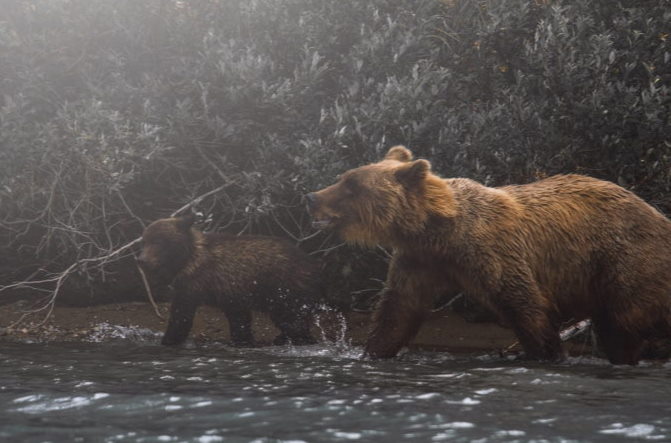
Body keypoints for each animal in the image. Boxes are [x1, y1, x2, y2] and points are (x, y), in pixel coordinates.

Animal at [136, 213, 320, 347]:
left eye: (158, 241)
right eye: (144, 241)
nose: (141, 260)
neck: (187, 260)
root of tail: (311, 262)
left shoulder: (198, 285)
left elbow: (181, 316)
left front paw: (168, 340)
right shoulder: (226, 292)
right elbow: (239, 319)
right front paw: (244, 340)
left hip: (283, 287)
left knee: (291, 319)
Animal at [305, 145, 671, 365]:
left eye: (351, 185)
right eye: (344, 178)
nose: (313, 197)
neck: (438, 230)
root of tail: (658, 214)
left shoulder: (491, 250)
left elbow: (523, 303)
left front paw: (549, 354)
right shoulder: (420, 260)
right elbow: (399, 310)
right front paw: (372, 352)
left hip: (625, 261)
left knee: (621, 323)